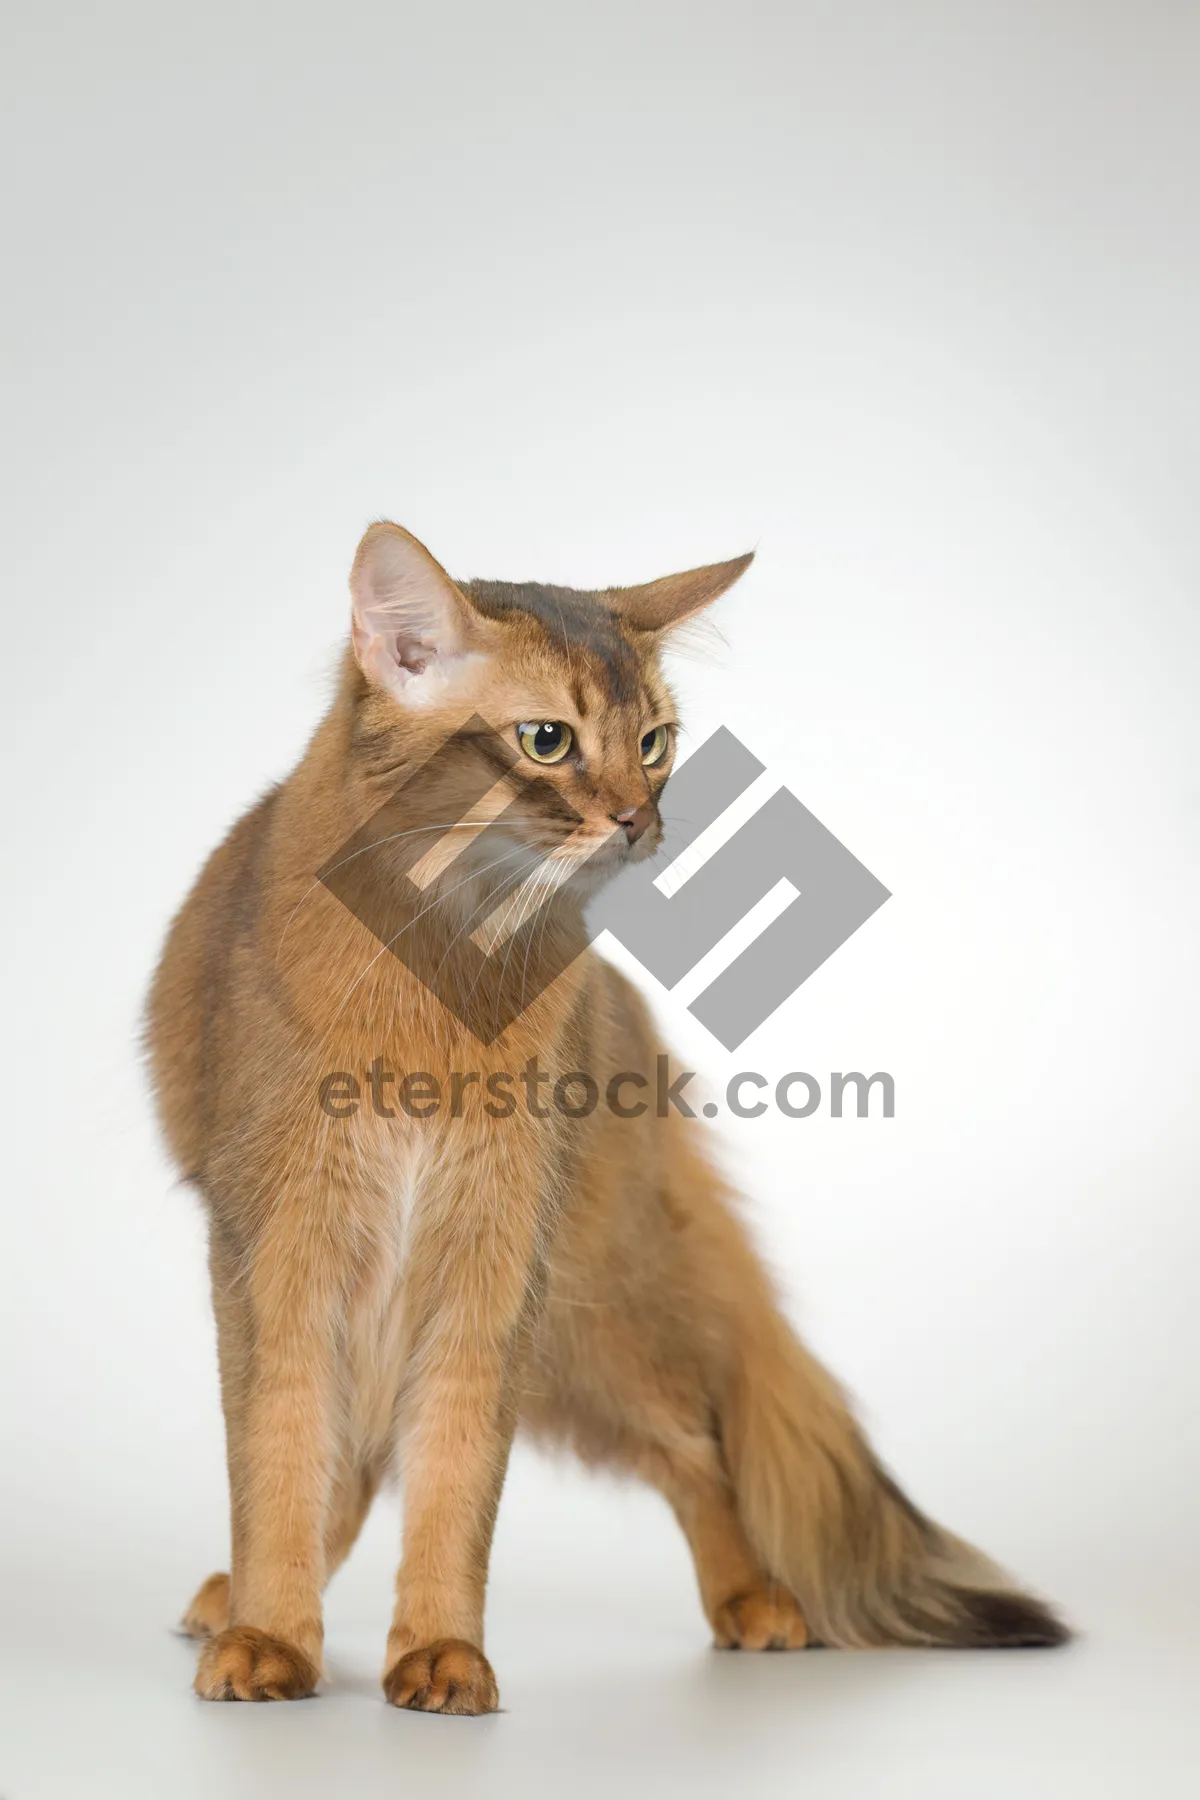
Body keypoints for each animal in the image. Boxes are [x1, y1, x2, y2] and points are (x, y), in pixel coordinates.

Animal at [143, 525, 1072, 1713]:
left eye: (655, 741)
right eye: (547, 741)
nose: (641, 820)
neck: (452, 968)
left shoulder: (495, 1258)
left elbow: (454, 1470)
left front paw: (442, 1654)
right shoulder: (276, 1243)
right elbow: (278, 1450)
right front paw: (270, 1635)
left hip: (592, 1312)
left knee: (696, 1439)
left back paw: (754, 1600)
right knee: (351, 1454)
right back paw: (239, 1600)